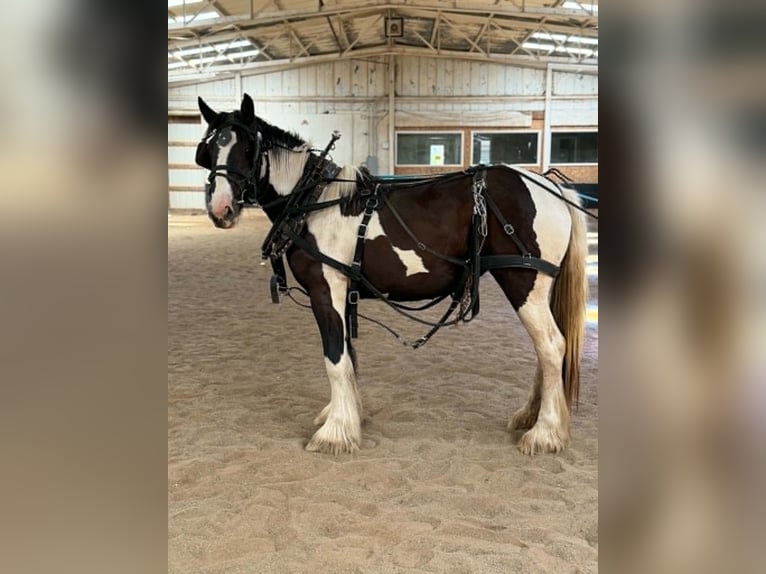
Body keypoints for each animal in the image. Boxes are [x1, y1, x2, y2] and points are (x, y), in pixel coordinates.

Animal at [194, 93, 588, 455]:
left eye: (248, 147)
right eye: (209, 150)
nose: (220, 209)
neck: (313, 201)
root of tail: (552, 187)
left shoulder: (326, 289)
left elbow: (334, 357)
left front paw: (335, 433)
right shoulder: (343, 292)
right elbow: (348, 356)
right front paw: (345, 415)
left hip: (522, 281)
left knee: (551, 346)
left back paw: (545, 432)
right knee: (545, 350)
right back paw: (531, 415)